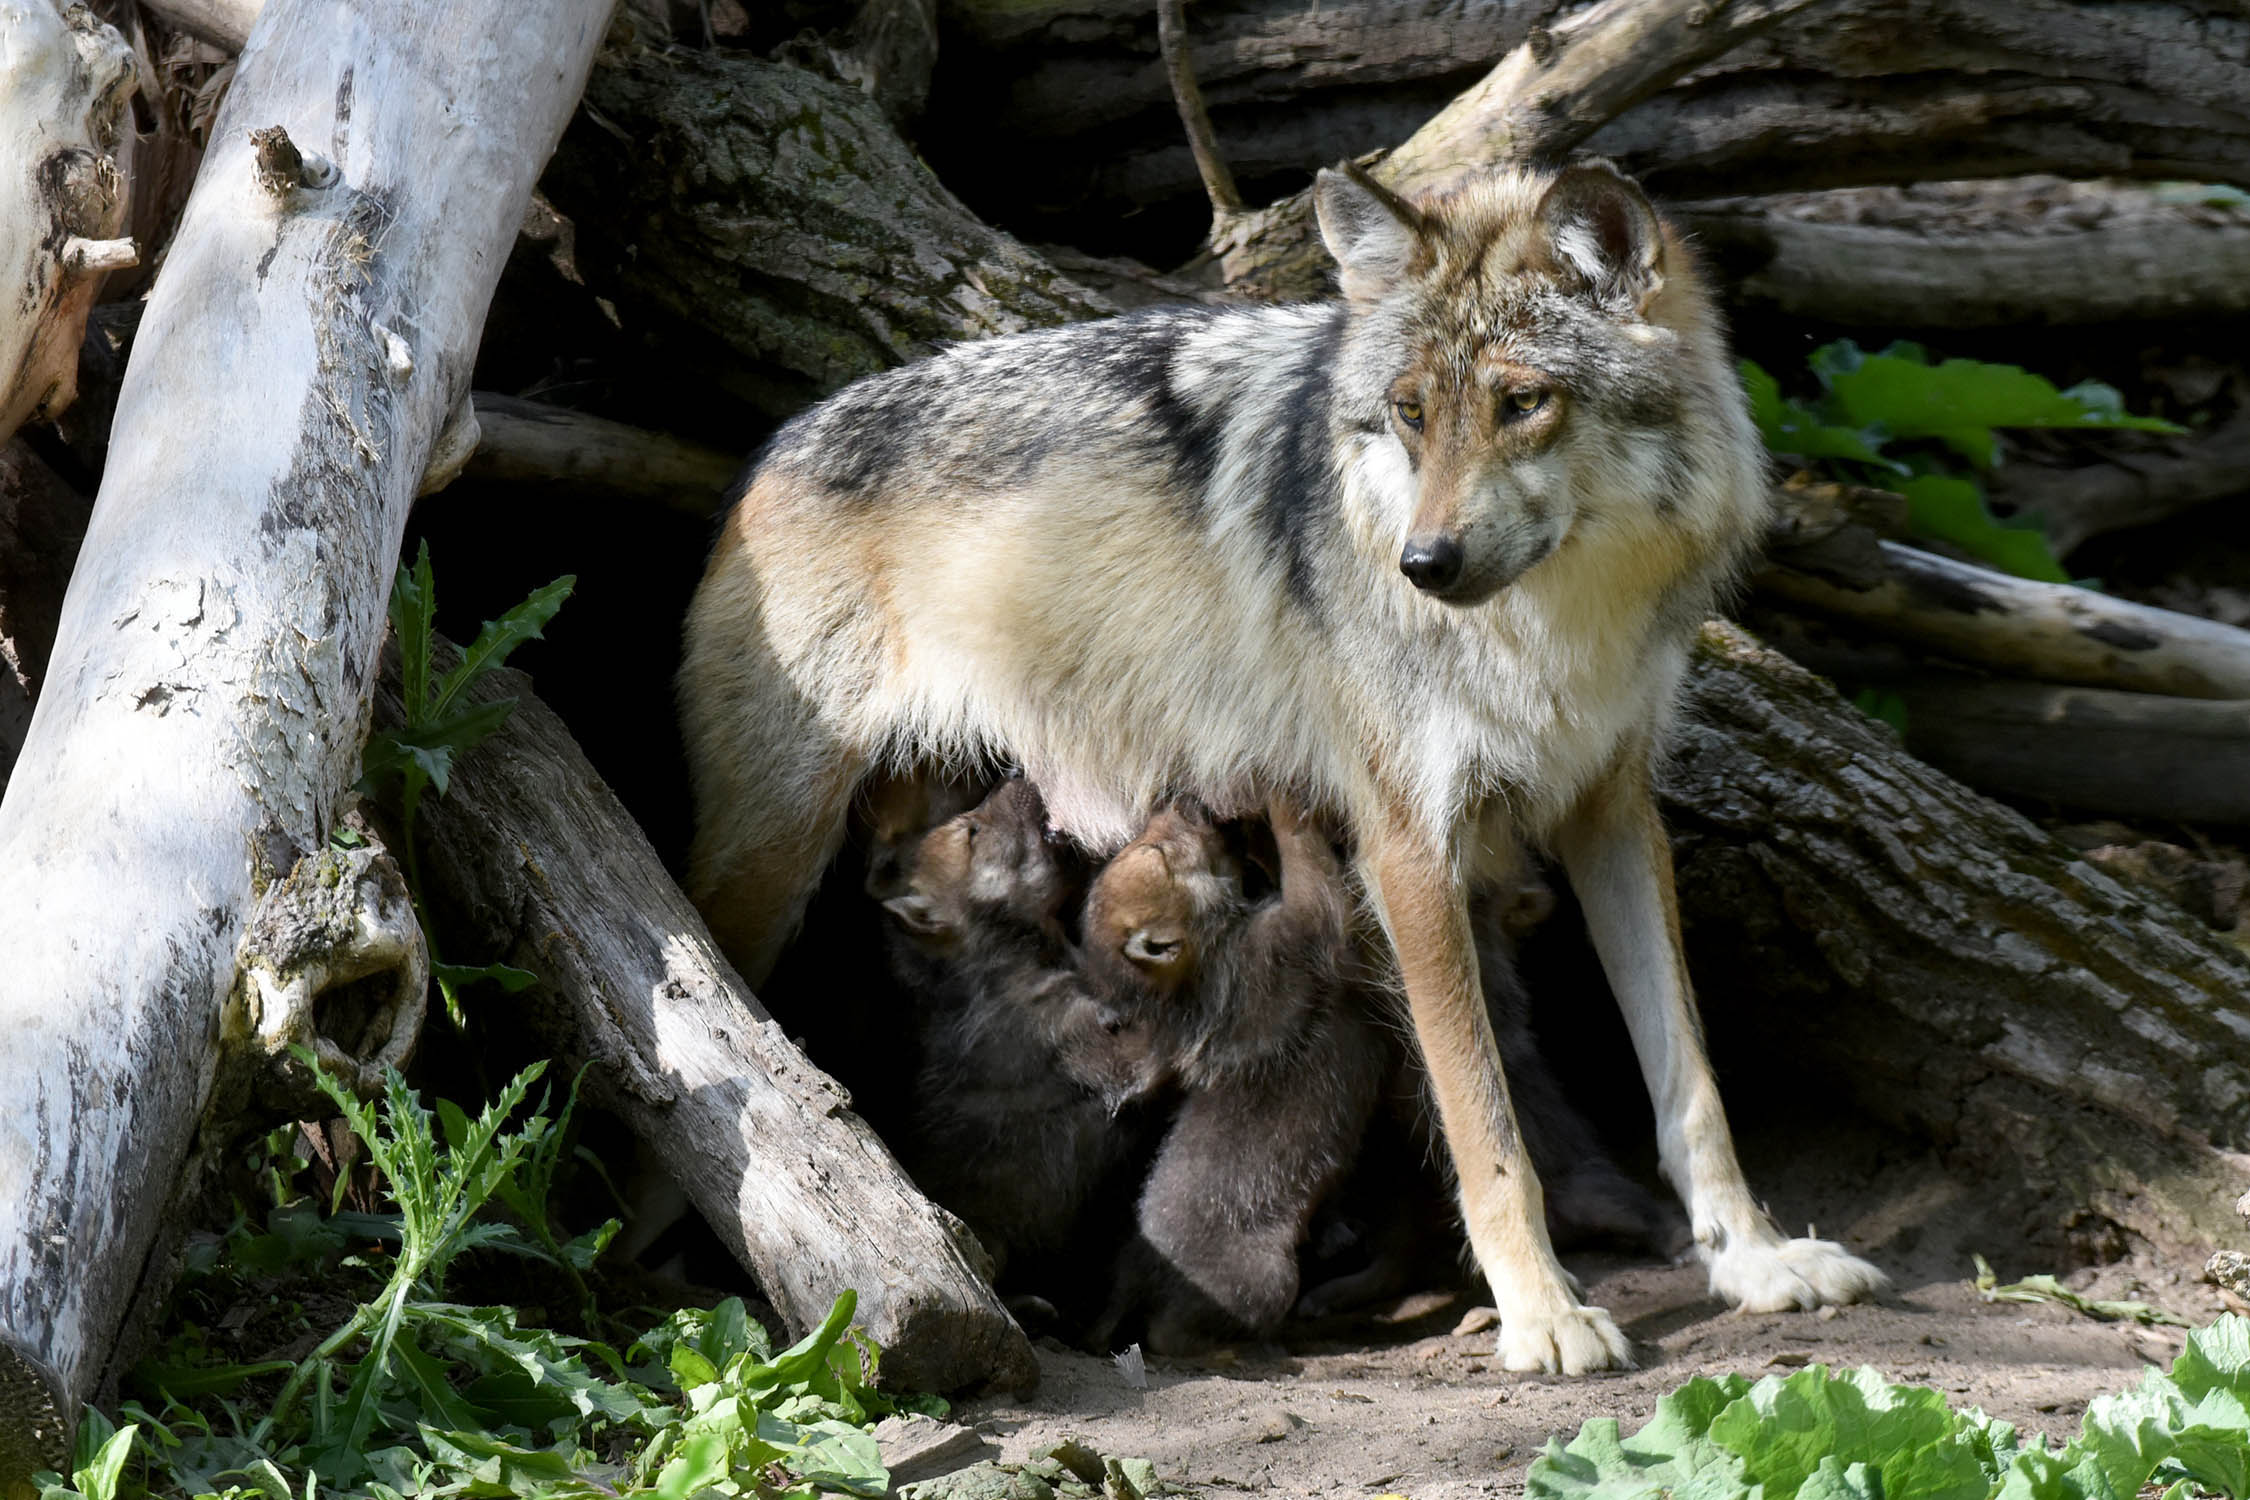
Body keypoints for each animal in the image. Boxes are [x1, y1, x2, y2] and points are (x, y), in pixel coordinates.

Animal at [680, 159, 1887, 1373]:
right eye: (1411, 412)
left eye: (1523, 403)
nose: (1422, 564)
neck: (1553, 628)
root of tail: (773, 447)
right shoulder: (1408, 850)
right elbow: (1485, 1125)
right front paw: (1543, 1312)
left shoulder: (1613, 811)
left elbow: (1690, 1084)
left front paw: (1755, 1260)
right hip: (763, 877)